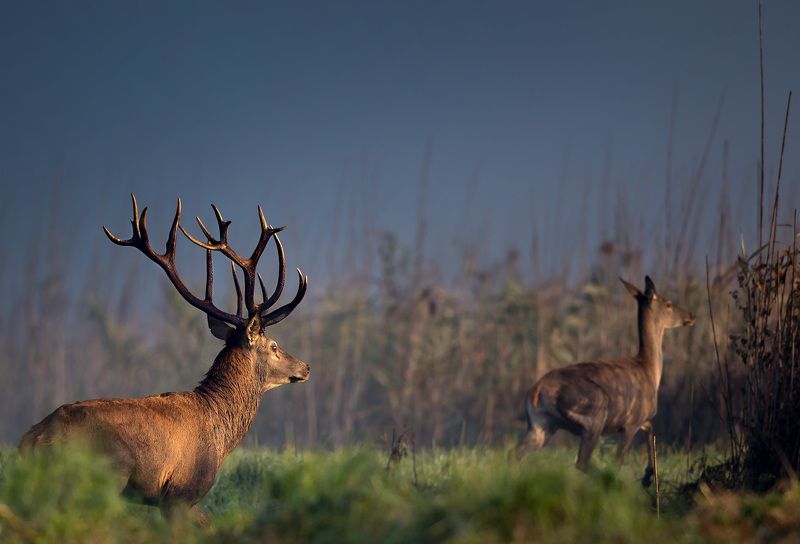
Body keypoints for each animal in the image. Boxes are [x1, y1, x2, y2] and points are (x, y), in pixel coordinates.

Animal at [19, 194, 309, 518]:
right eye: (274, 346)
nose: (306, 367)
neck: (220, 434)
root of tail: (34, 440)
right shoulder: (180, 494)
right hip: (103, 478)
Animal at [515, 276, 695, 486]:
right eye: (669, 304)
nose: (691, 315)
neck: (649, 369)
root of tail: (536, 393)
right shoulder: (631, 422)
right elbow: (620, 460)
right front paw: (646, 477)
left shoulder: (637, 419)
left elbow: (651, 428)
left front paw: (648, 475)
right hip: (593, 417)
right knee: (582, 462)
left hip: (541, 425)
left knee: (515, 453)